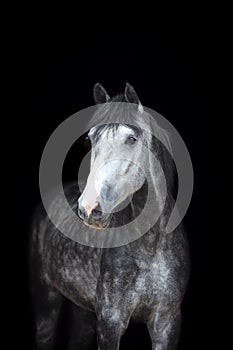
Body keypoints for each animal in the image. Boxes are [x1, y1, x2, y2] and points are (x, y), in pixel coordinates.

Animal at [30, 83, 190, 348]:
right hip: (46, 302)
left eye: (132, 138)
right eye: (89, 139)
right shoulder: (110, 322)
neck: (150, 247)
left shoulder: (166, 323)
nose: (89, 208)